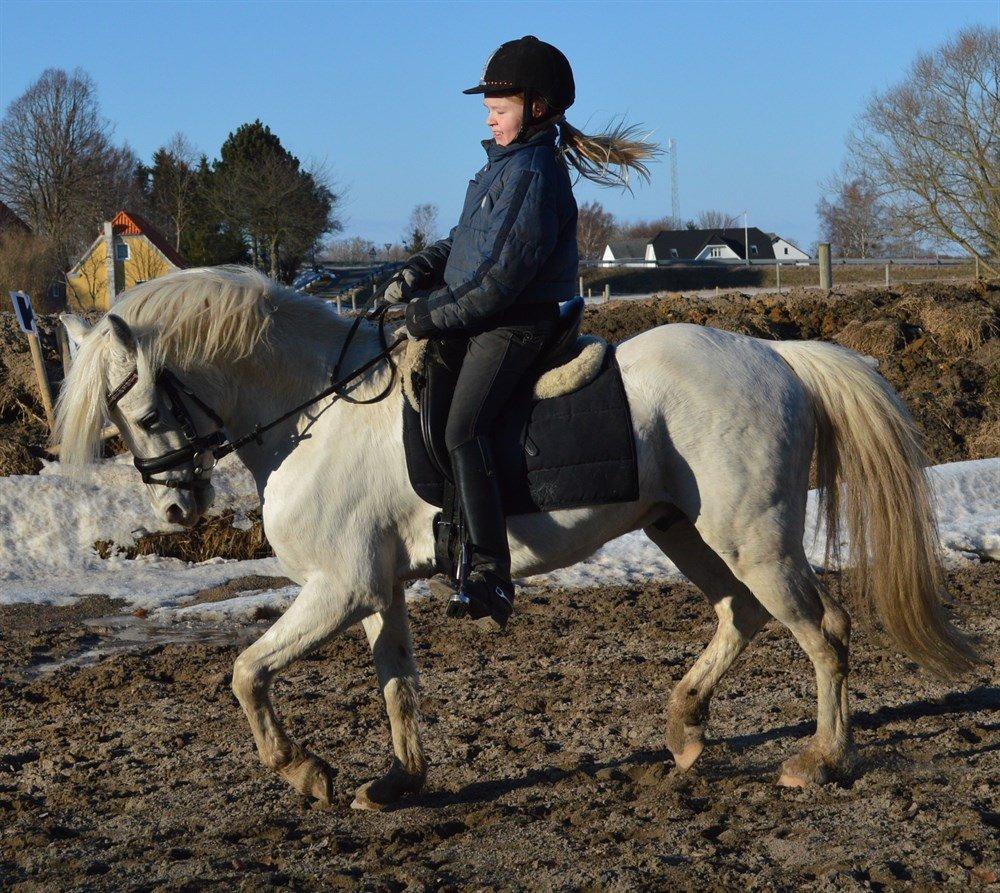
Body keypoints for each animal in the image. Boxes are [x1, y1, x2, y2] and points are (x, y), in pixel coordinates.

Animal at [54, 264, 976, 808]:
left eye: (141, 414)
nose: (176, 515)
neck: (316, 412)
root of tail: (777, 355)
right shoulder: (376, 588)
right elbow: (397, 683)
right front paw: (399, 781)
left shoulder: (339, 586)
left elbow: (246, 671)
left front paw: (306, 769)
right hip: (685, 530)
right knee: (740, 616)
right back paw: (684, 729)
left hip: (753, 537)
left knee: (824, 631)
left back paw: (822, 758)